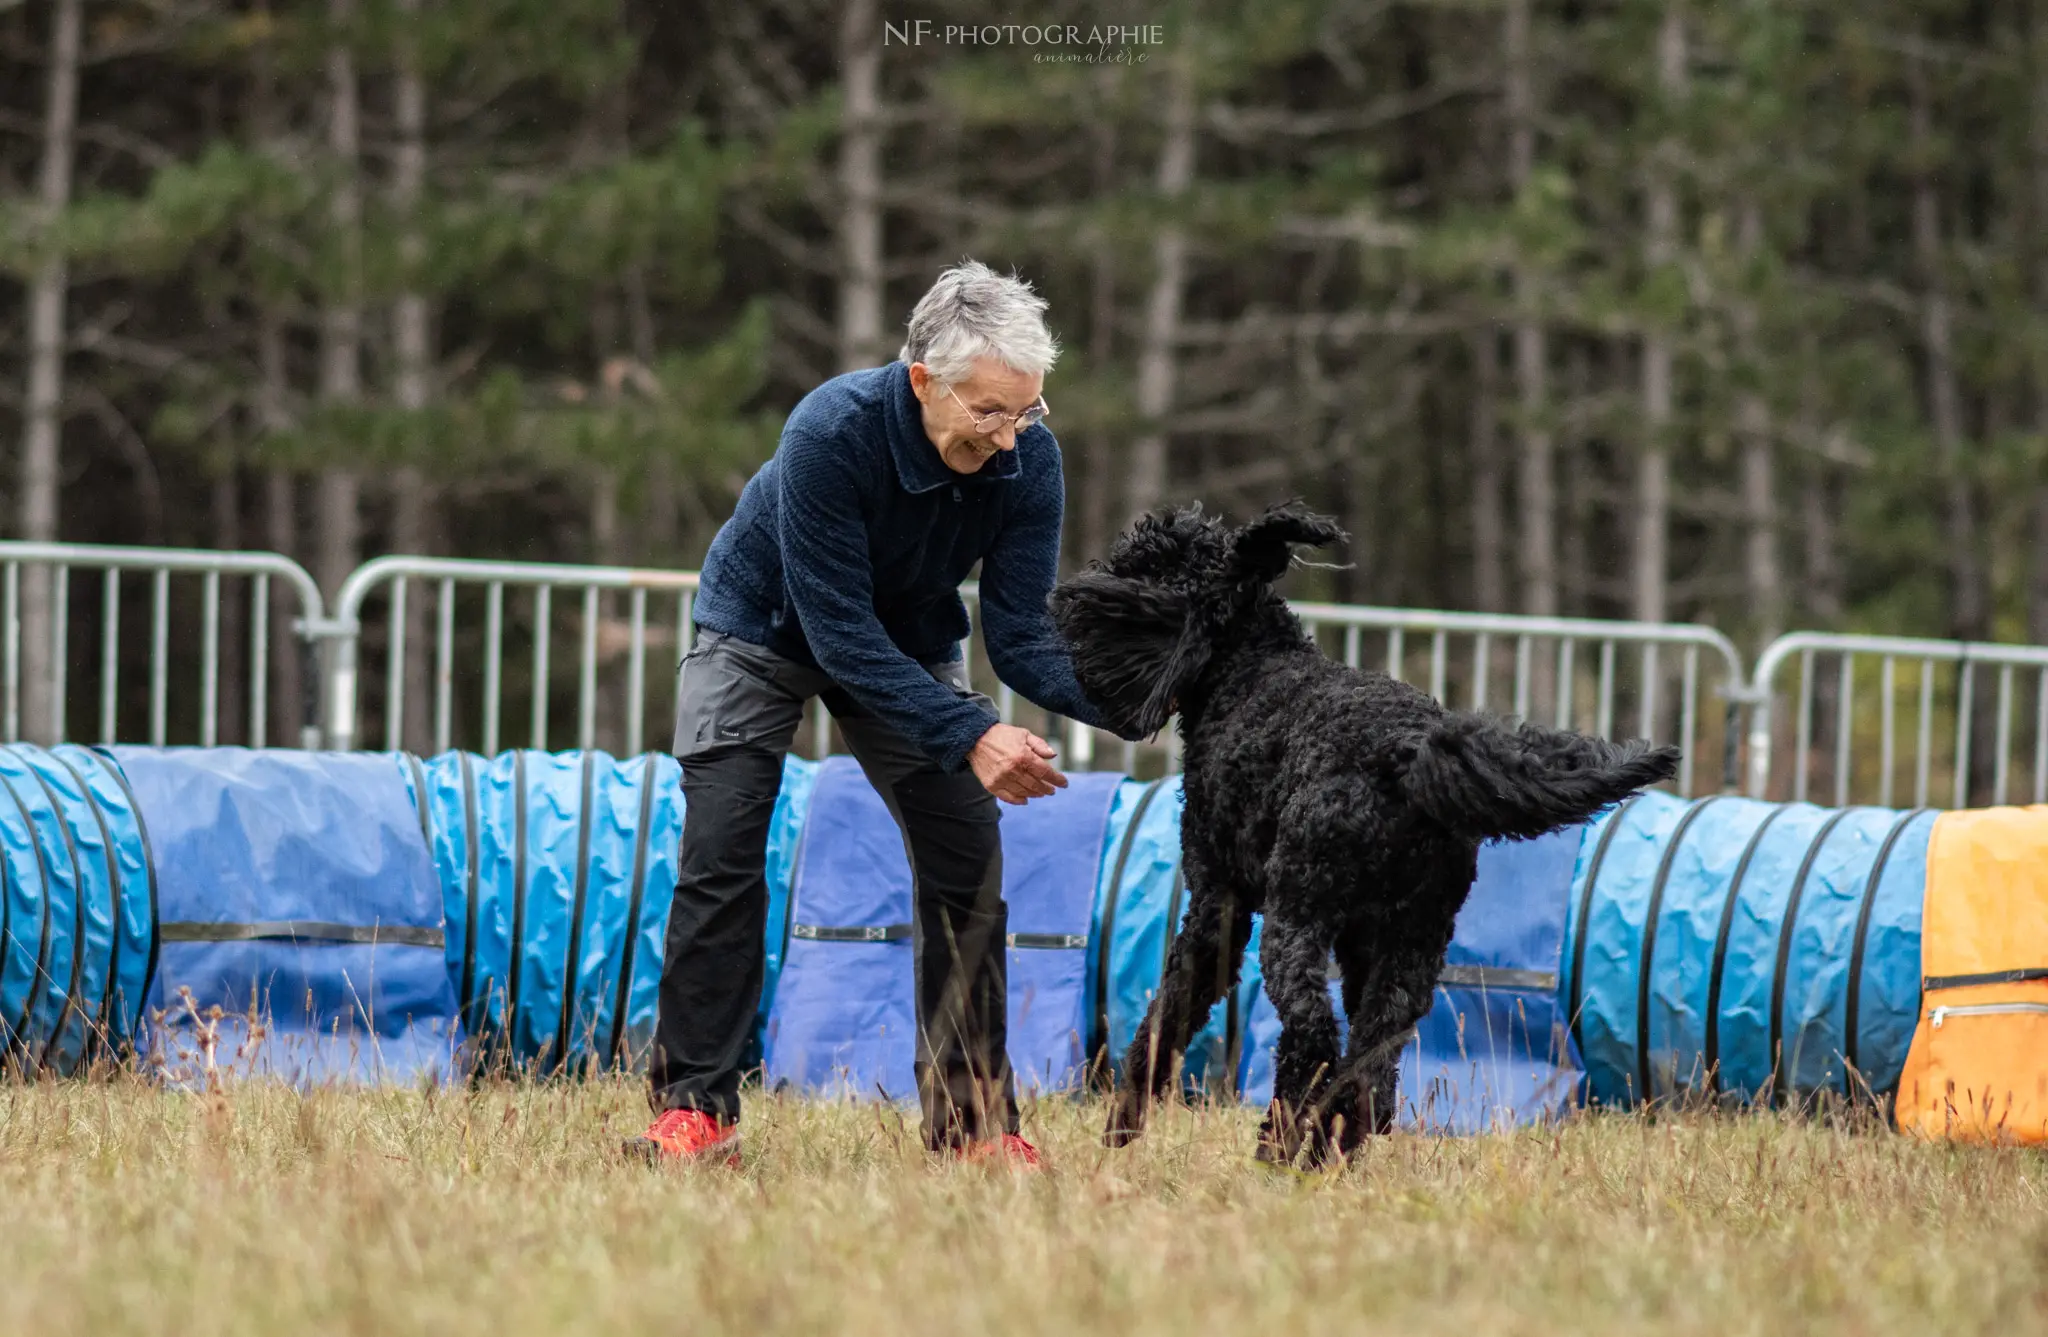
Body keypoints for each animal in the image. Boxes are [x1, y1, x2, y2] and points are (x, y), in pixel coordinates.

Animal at [1056, 499, 1679, 1171]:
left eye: (1147, 567)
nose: (1072, 594)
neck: (1250, 670)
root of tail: (1406, 751)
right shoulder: (1362, 940)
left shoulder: (1217, 906)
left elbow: (1166, 1017)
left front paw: (1120, 1131)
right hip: (1413, 939)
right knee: (1373, 1061)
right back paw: (1330, 1144)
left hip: (1297, 915)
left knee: (1313, 1036)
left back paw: (1279, 1144)